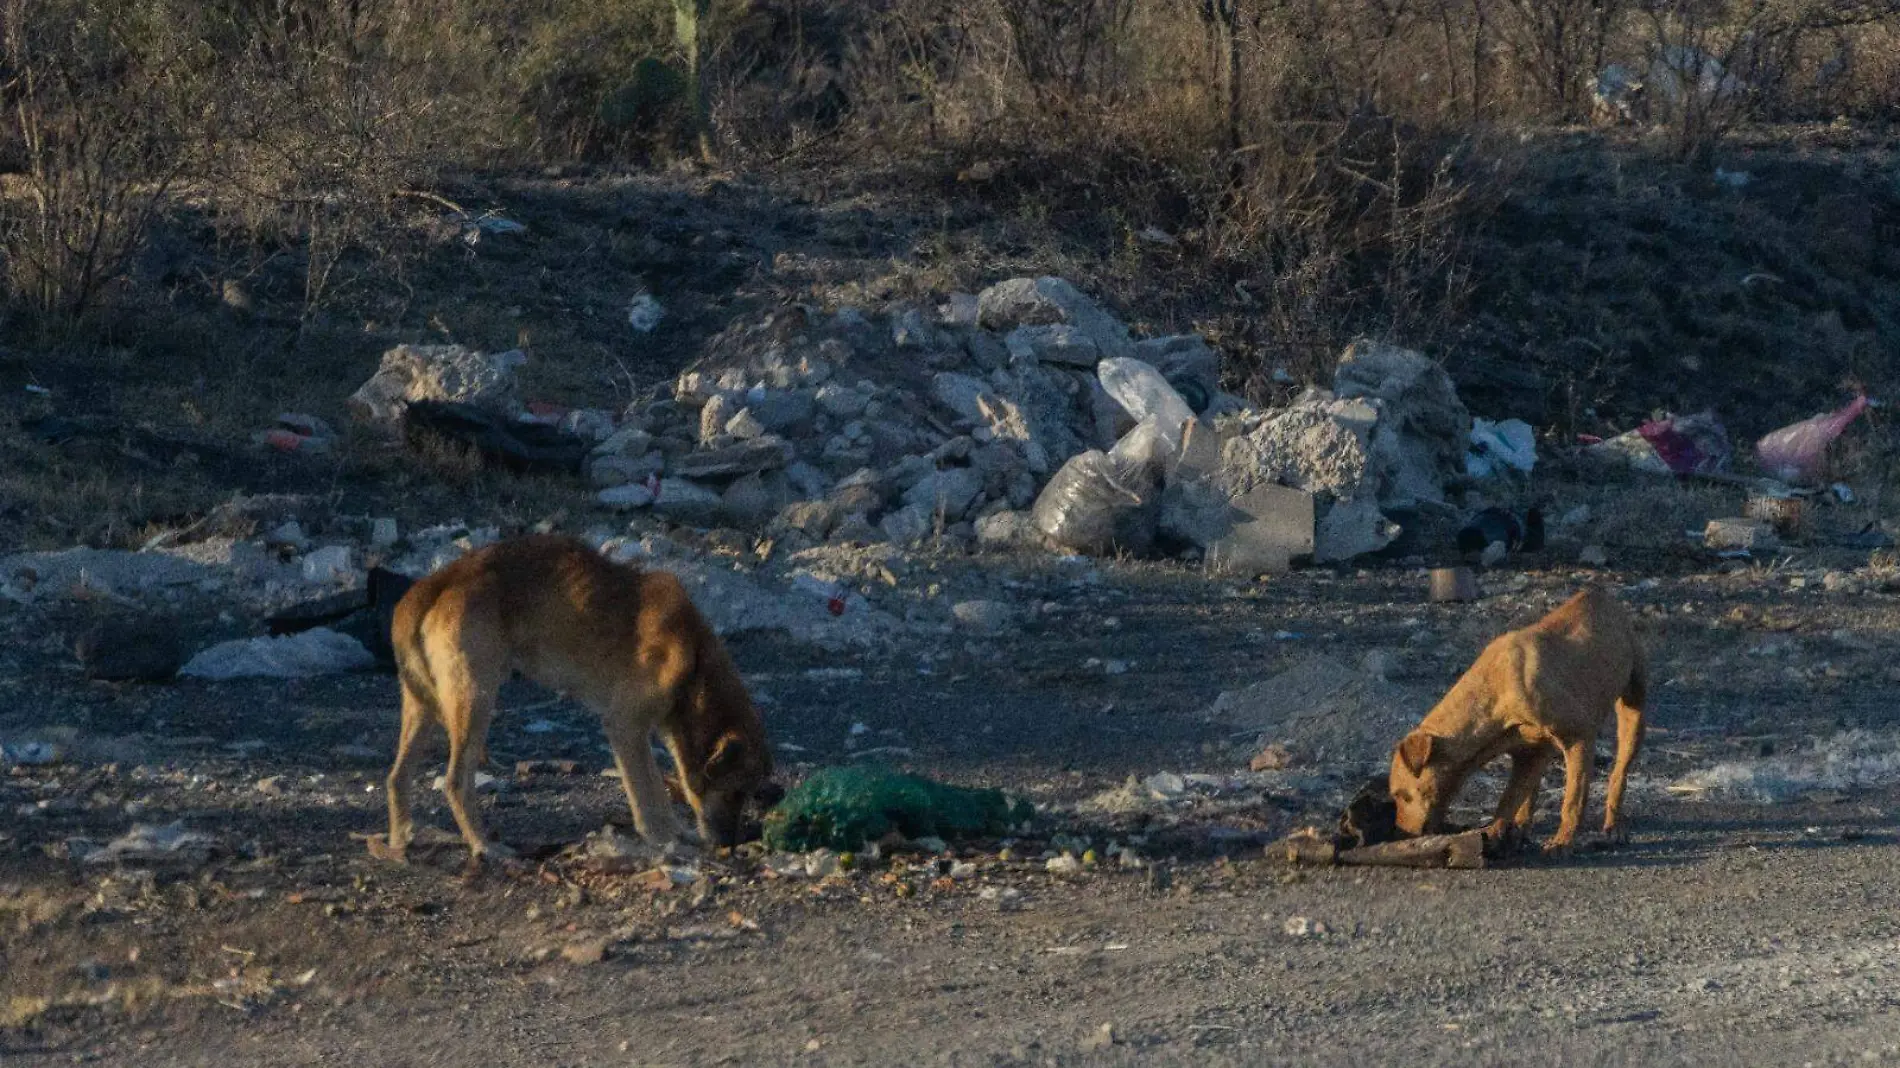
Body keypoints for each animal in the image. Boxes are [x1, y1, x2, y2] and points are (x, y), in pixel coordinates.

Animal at [380, 528, 779, 858]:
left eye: (748, 794)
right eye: (735, 791)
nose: (729, 844)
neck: (695, 663)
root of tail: (434, 584)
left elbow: (656, 790)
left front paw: (675, 834)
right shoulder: (624, 727)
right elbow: (648, 792)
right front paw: (663, 838)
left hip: (423, 708)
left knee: (397, 777)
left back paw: (401, 840)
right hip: (476, 700)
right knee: (455, 782)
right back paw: (484, 846)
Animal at [1390, 581, 1641, 847]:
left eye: (1402, 795)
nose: (1400, 834)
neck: (1494, 691)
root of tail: (1600, 594)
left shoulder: (1579, 736)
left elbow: (1572, 801)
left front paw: (1561, 843)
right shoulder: (1527, 753)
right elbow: (1510, 800)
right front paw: (1494, 833)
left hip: (1633, 712)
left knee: (1619, 773)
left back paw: (1614, 825)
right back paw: (1520, 828)